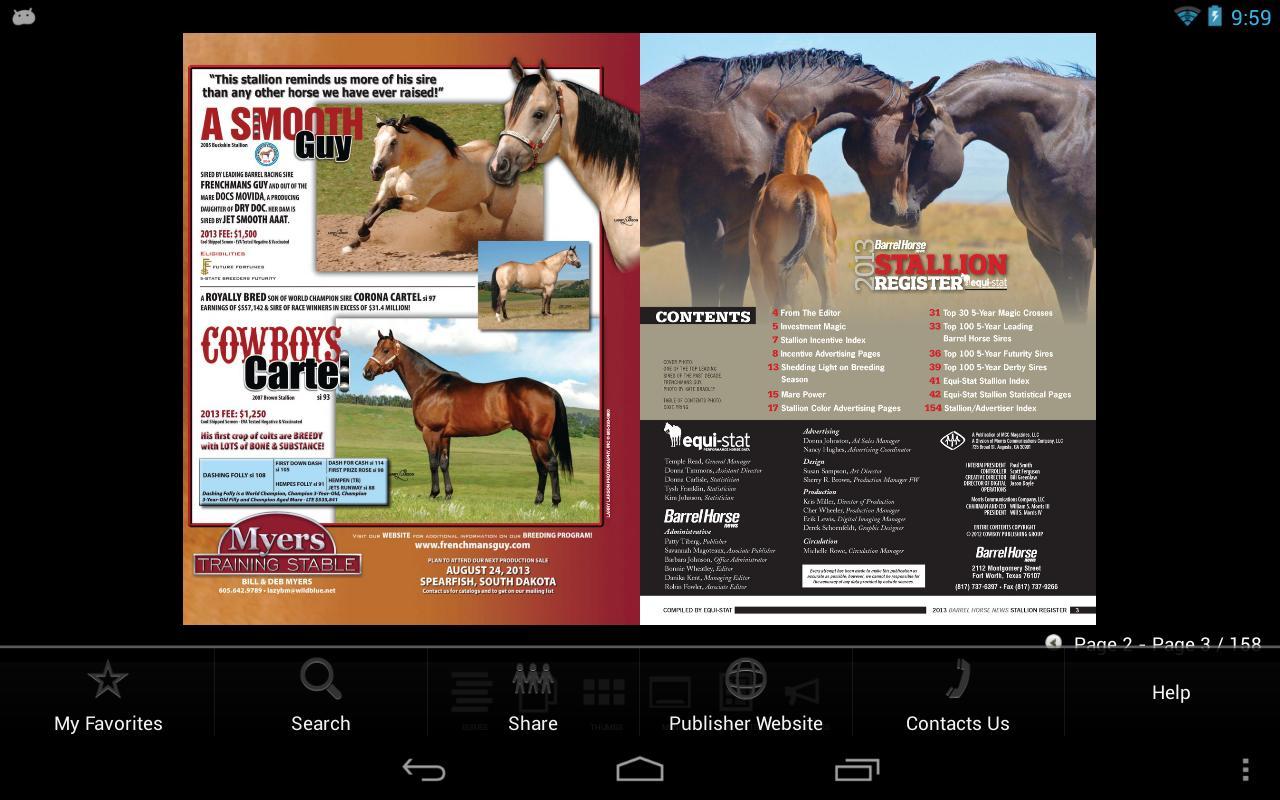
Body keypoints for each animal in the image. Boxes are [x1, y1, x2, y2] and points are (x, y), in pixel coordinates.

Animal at [342, 114, 519, 254]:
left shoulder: (416, 202)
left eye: (393, 142)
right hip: (469, 201)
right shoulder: (385, 190)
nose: (375, 170)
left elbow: (386, 204)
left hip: (498, 206)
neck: (413, 164)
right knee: (478, 213)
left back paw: (501, 238)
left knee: (508, 215)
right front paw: (356, 240)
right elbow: (372, 210)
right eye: (375, 141)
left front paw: (363, 234)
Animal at [361, 330, 573, 505]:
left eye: (386, 350)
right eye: (374, 348)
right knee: (541, 467)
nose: (366, 372)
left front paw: (433, 494)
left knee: (551, 464)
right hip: (532, 439)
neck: (430, 385)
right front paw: (448, 495)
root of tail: (549, 389)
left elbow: (433, 463)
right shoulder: (445, 435)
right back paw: (537, 501)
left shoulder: (431, 432)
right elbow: (444, 463)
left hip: (539, 438)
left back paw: (555, 502)